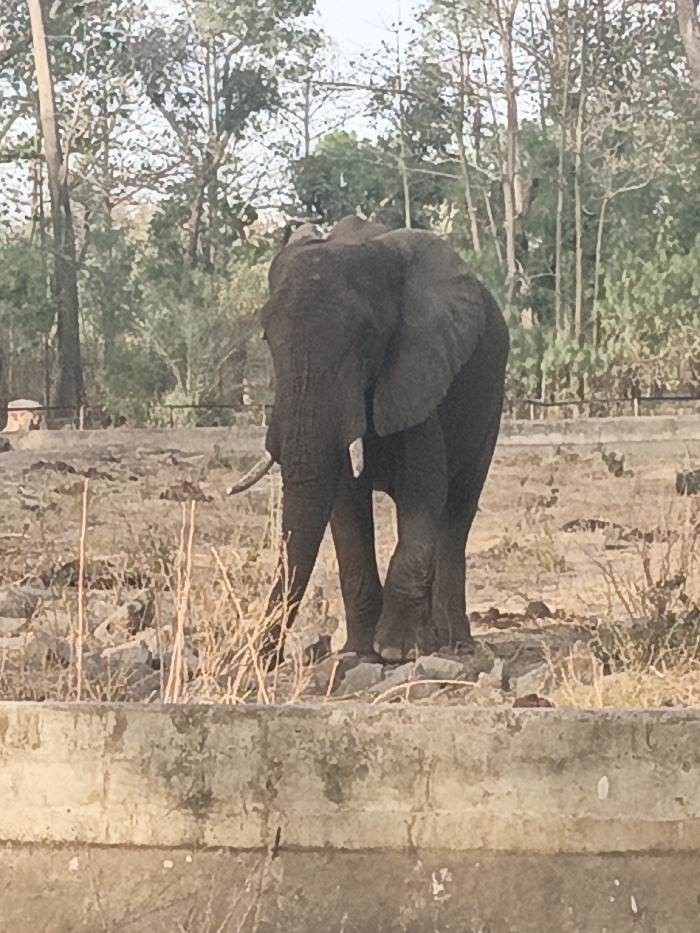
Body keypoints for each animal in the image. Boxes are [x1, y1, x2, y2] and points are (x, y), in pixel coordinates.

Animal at [229, 215, 509, 663]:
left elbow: (423, 491)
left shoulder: (418, 370)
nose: (263, 658)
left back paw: (453, 643)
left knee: (459, 508)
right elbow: (345, 504)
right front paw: (360, 653)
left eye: (366, 335)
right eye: (267, 338)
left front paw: (397, 650)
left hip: (492, 399)